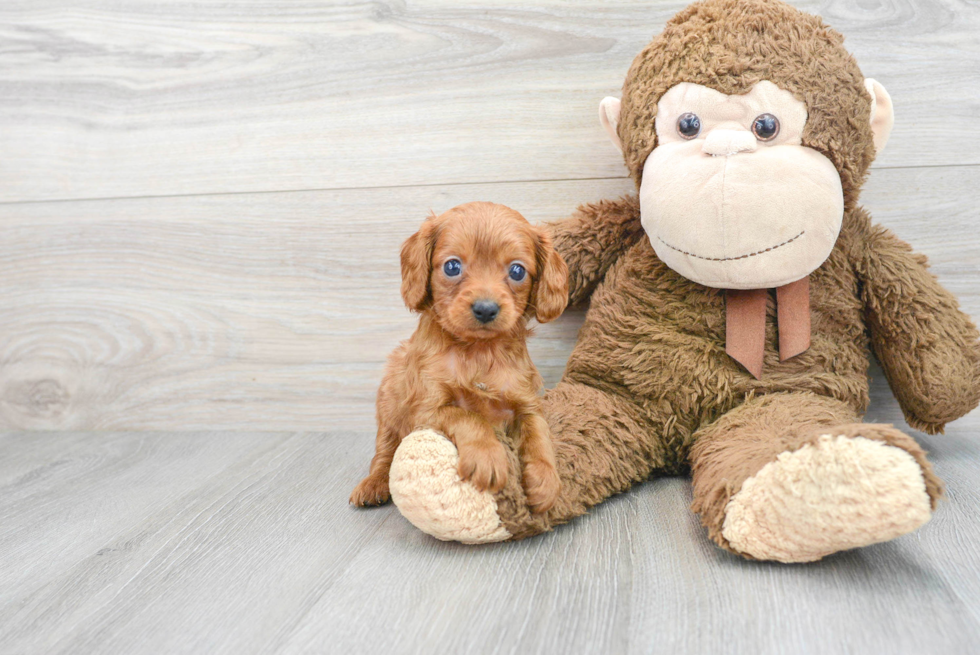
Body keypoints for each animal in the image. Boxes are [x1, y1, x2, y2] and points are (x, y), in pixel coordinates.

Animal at [350, 202, 568, 516]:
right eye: (452, 266)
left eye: (517, 271)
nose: (486, 309)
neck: (478, 352)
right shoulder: (425, 411)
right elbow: (467, 416)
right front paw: (487, 458)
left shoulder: (526, 402)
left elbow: (539, 435)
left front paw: (547, 479)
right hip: (390, 408)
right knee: (384, 451)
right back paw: (373, 485)